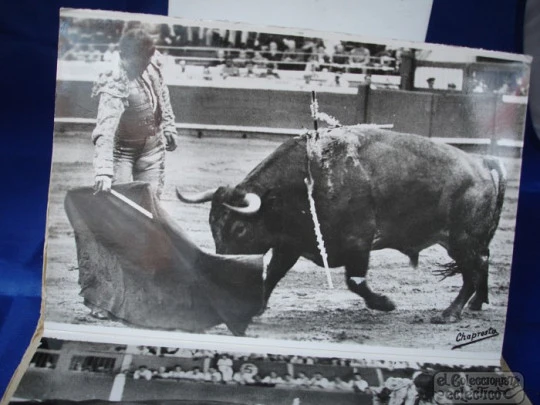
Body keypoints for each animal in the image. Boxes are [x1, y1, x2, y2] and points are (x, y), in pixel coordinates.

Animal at [177, 126, 506, 322]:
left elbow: (354, 281)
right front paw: (256, 307)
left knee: (473, 269)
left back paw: (451, 312)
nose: (220, 274)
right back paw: (477, 304)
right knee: (484, 261)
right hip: (462, 240)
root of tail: (481, 162)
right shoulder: (290, 244)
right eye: (212, 225)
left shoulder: (358, 243)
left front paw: (385, 303)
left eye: (239, 229)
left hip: (462, 239)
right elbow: (272, 273)